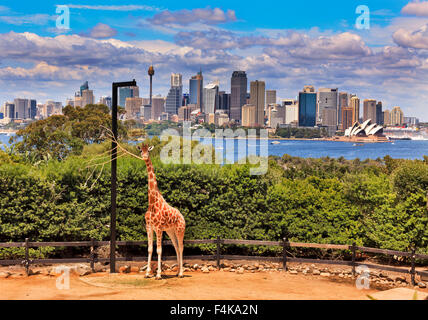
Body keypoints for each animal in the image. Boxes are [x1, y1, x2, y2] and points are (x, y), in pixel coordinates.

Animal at [136, 144, 185, 278]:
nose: (144, 156)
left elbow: (159, 250)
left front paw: (158, 274)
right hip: (170, 231)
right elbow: (150, 249)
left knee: (181, 247)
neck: (152, 203)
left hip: (180, 229)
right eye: (141, 150)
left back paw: (181, 273)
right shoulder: (149, 227)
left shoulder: (158, 228)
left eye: (148, 151)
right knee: (176, 247)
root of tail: (182, 217)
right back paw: (177, 271)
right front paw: (147, 273)